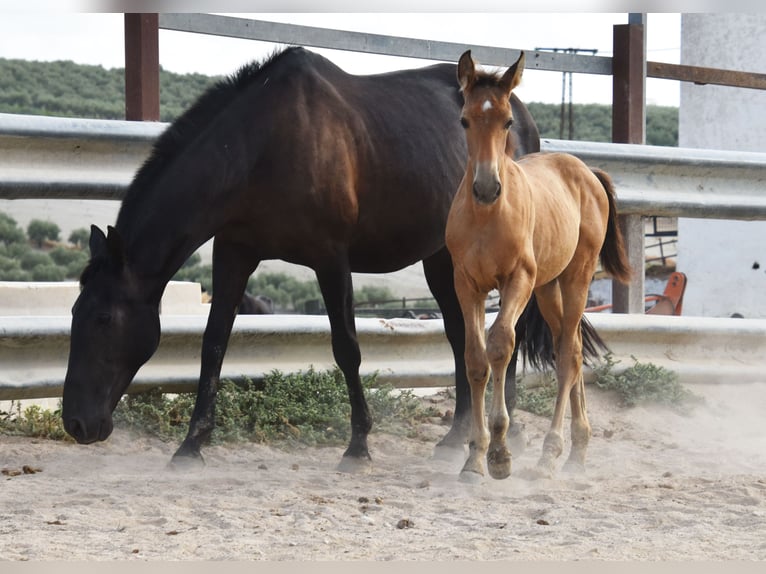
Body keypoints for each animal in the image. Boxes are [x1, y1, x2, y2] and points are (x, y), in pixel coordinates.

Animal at [61, 46, 592, 470]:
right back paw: (456, 438)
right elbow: (213, 345)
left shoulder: (331, 258)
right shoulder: (234, 253)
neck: (262, 145)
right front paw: (192, 445)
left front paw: (358, 447)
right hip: (443, 260)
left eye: (104, 318)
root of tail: (522, 113)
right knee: (462, 334)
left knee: (505, 336)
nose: (77, 423)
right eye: (74, 313)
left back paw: (509, 434)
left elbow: (347, 348)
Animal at [446, 51, 631, 481]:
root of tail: (587, 173)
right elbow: (475, 359)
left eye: (507, 121)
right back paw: (577, 450)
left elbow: (501, 345)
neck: (486, 217)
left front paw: (500, 453)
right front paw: (474, 459)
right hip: (548, 288)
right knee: (573, 347)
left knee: (566, 357)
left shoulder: (518, 280)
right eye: (464, 119)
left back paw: (551, 453)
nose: (486, 188)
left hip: (576, 277)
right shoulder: (467, 283)